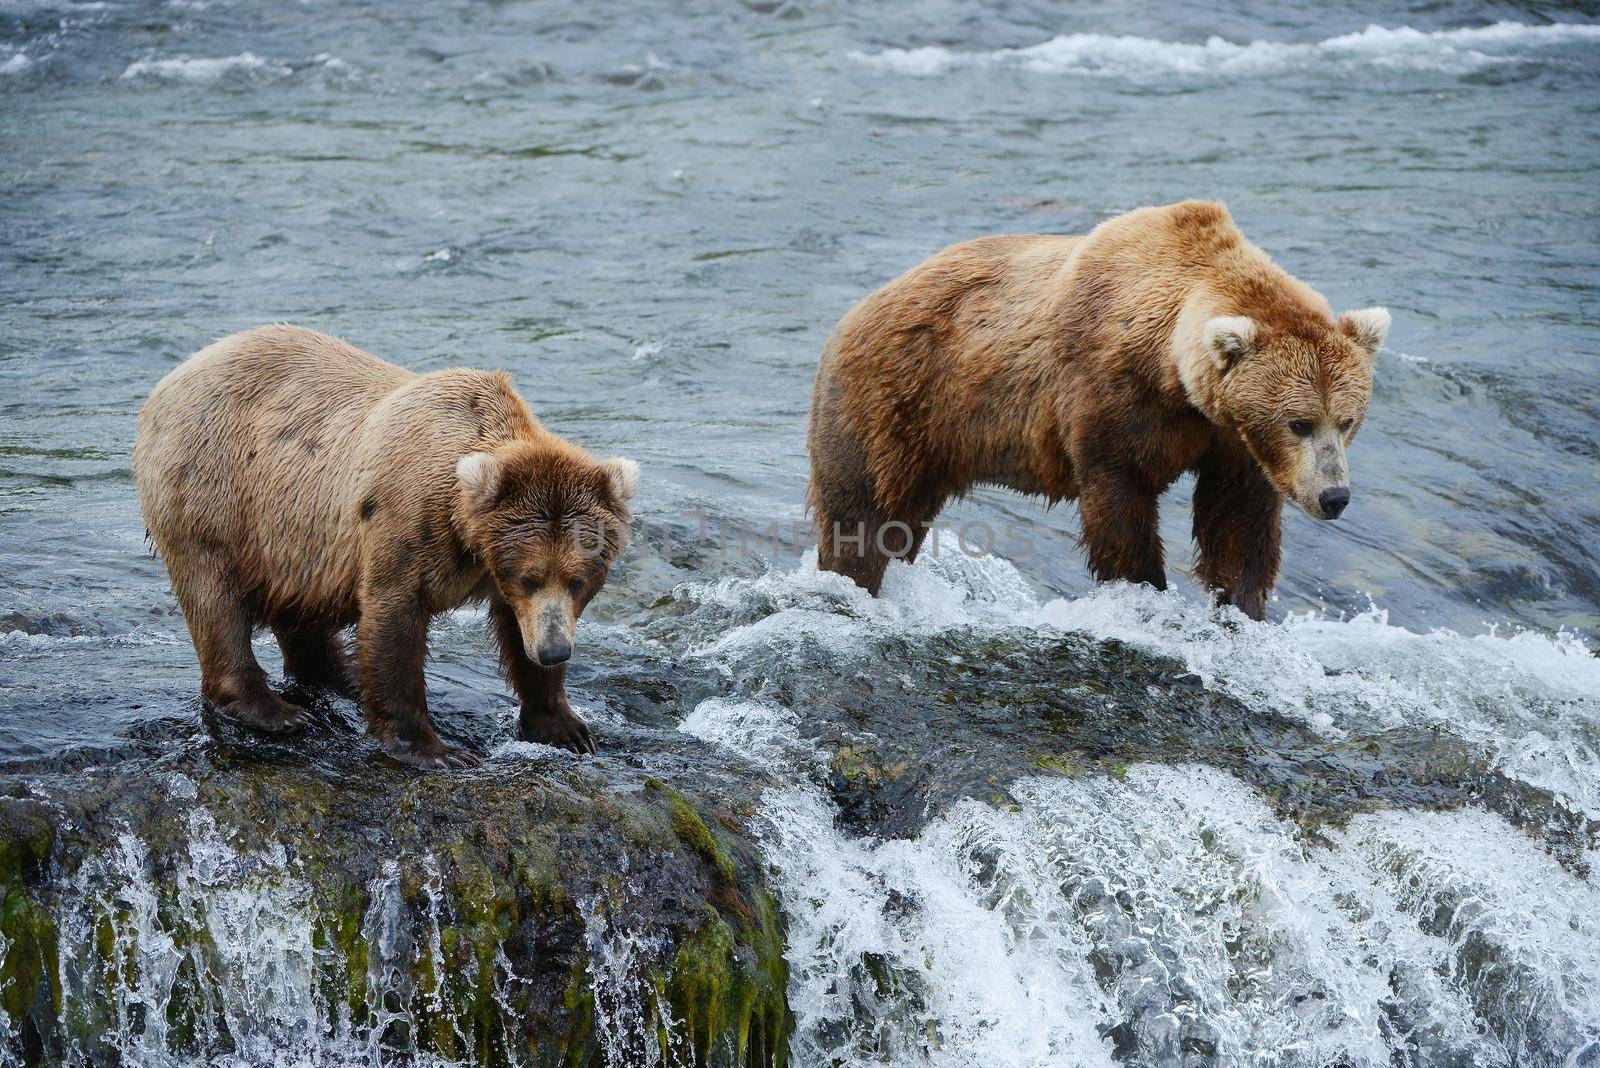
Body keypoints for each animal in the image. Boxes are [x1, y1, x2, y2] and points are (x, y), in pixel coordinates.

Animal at [134, 326, 640, 767]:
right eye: (530, 577)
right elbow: (394, 616)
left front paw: (565, 726)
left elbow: (516, 629)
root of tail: (175, 375)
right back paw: (276, 711)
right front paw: (434, 749)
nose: (556, 651)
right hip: (217, 486)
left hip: (295, 534)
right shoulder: (407, 520)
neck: (467, 534)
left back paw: (341, 675)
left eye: (577, 581)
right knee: (214, 595)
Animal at [812, 202, 1388, 617]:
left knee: (904, 521)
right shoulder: (1108, 395)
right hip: (895, 404)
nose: (1335, 496)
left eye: (1346, 421)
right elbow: (1119, 503)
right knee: (863, 515)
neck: (1174, 378)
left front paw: (1239, 604)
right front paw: (1146, 590)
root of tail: (854, 312)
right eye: (1300, 422)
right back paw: (850, 581)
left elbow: (1238, 518)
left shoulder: (1230, 439)